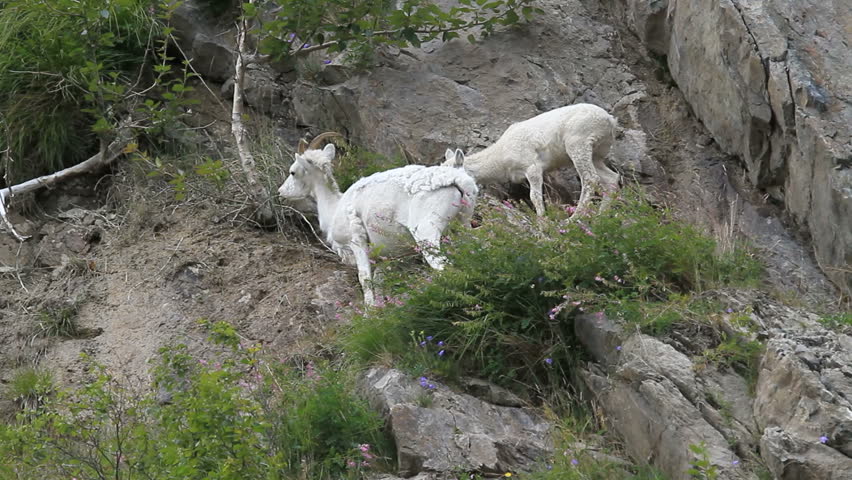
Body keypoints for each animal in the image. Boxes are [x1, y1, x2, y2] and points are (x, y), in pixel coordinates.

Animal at [278, 136, 478, 305]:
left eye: (293, 172)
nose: (281, 192)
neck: (334, 208)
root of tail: (457, 180)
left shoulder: (357, 242)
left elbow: (365, 279)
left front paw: (369, 313)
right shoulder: (386, 257)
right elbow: (380, 281)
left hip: (426, 233)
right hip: (463, 224)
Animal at [443, 103, 619, 218]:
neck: (501, 158)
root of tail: (609, 119)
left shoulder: (532, 168)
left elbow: (535, 196)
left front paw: (542, 221)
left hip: (578, 145)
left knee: (590, 179)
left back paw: (574, 218)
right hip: (595, 154)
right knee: (611, 178)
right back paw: (601, 215)